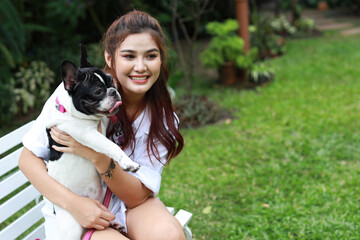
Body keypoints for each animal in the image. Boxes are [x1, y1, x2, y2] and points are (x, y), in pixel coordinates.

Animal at [44, 44, 140, 239]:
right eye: (98, 92)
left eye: (111, 81)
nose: (114, 91)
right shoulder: (88, 134)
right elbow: (111, 146)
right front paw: (128, 162)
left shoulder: (104, 121)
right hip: (71, 226)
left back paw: (115, 224)